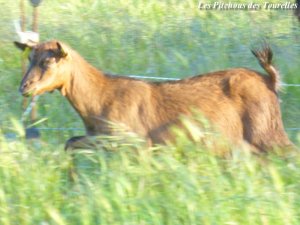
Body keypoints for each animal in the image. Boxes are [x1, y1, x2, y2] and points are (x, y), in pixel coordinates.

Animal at [14, 40, 292, 153]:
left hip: (266, 131)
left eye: (48, 61)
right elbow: (70, 142)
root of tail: (269, 80)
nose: (24, 87)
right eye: (30, 58)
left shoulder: (137, 142)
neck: (99, 98)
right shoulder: (103, 138)